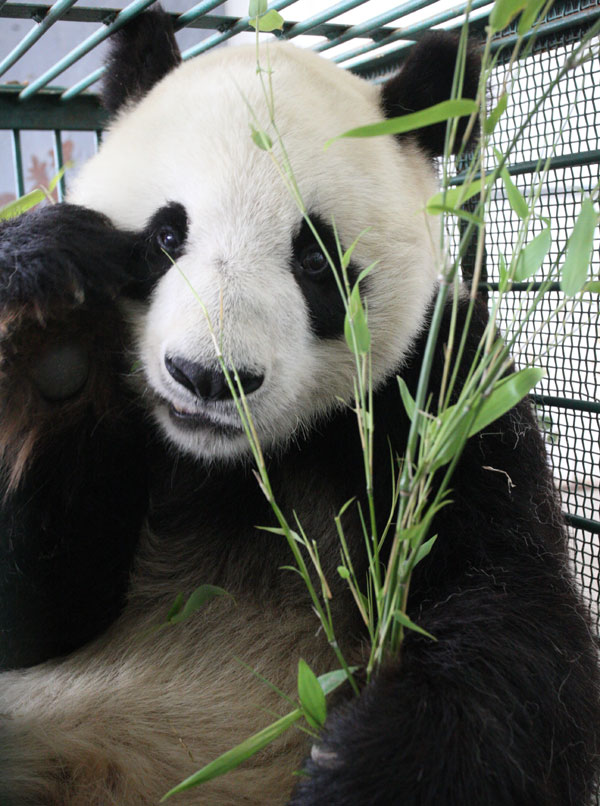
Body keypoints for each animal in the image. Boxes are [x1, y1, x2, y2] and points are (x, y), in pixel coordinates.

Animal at [1, 7, 600, 806]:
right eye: (166, 235)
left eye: (315, 258)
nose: (208, 378)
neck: (227, 463)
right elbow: (45, 611)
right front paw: (49, 309)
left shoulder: (444, 393)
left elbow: (518, 610)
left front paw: (359, 771)